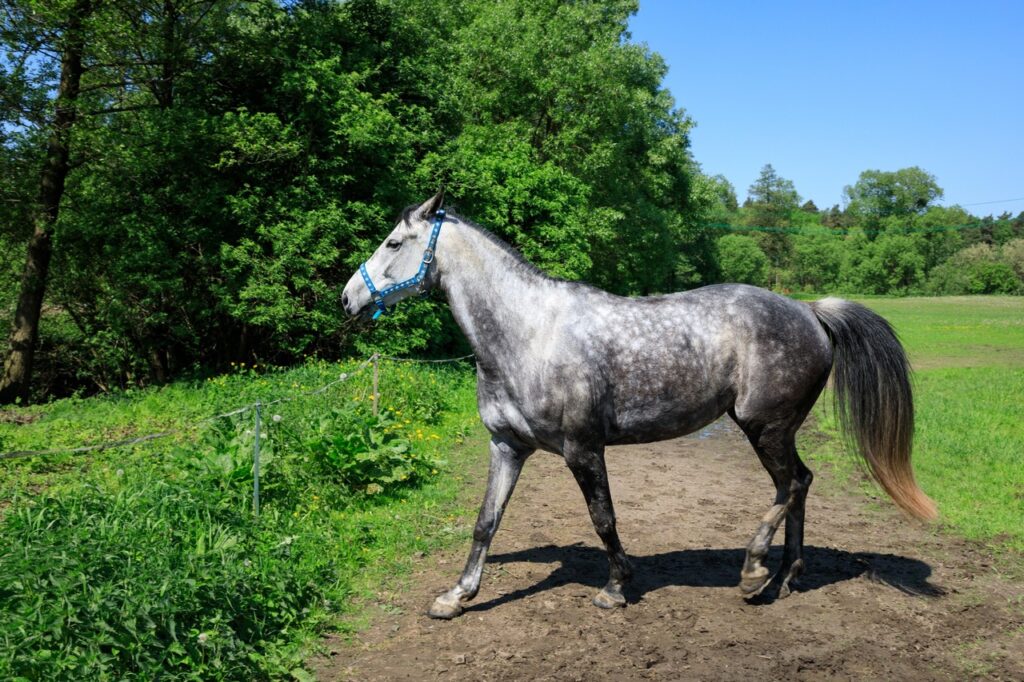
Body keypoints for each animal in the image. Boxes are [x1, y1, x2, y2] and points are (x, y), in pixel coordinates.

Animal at [341, 191, 937, 620]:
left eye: (394, 243)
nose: (348, 298)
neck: (528, 334)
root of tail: (810, 312)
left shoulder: (583, 449)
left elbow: (603, 518)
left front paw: (615, 588)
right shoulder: (507, 447)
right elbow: (486, 521)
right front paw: (457, 595)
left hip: (764, 427)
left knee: (792, 485)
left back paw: (753, 573)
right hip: (774, 431)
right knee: (798, 485)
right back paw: (786, 577)